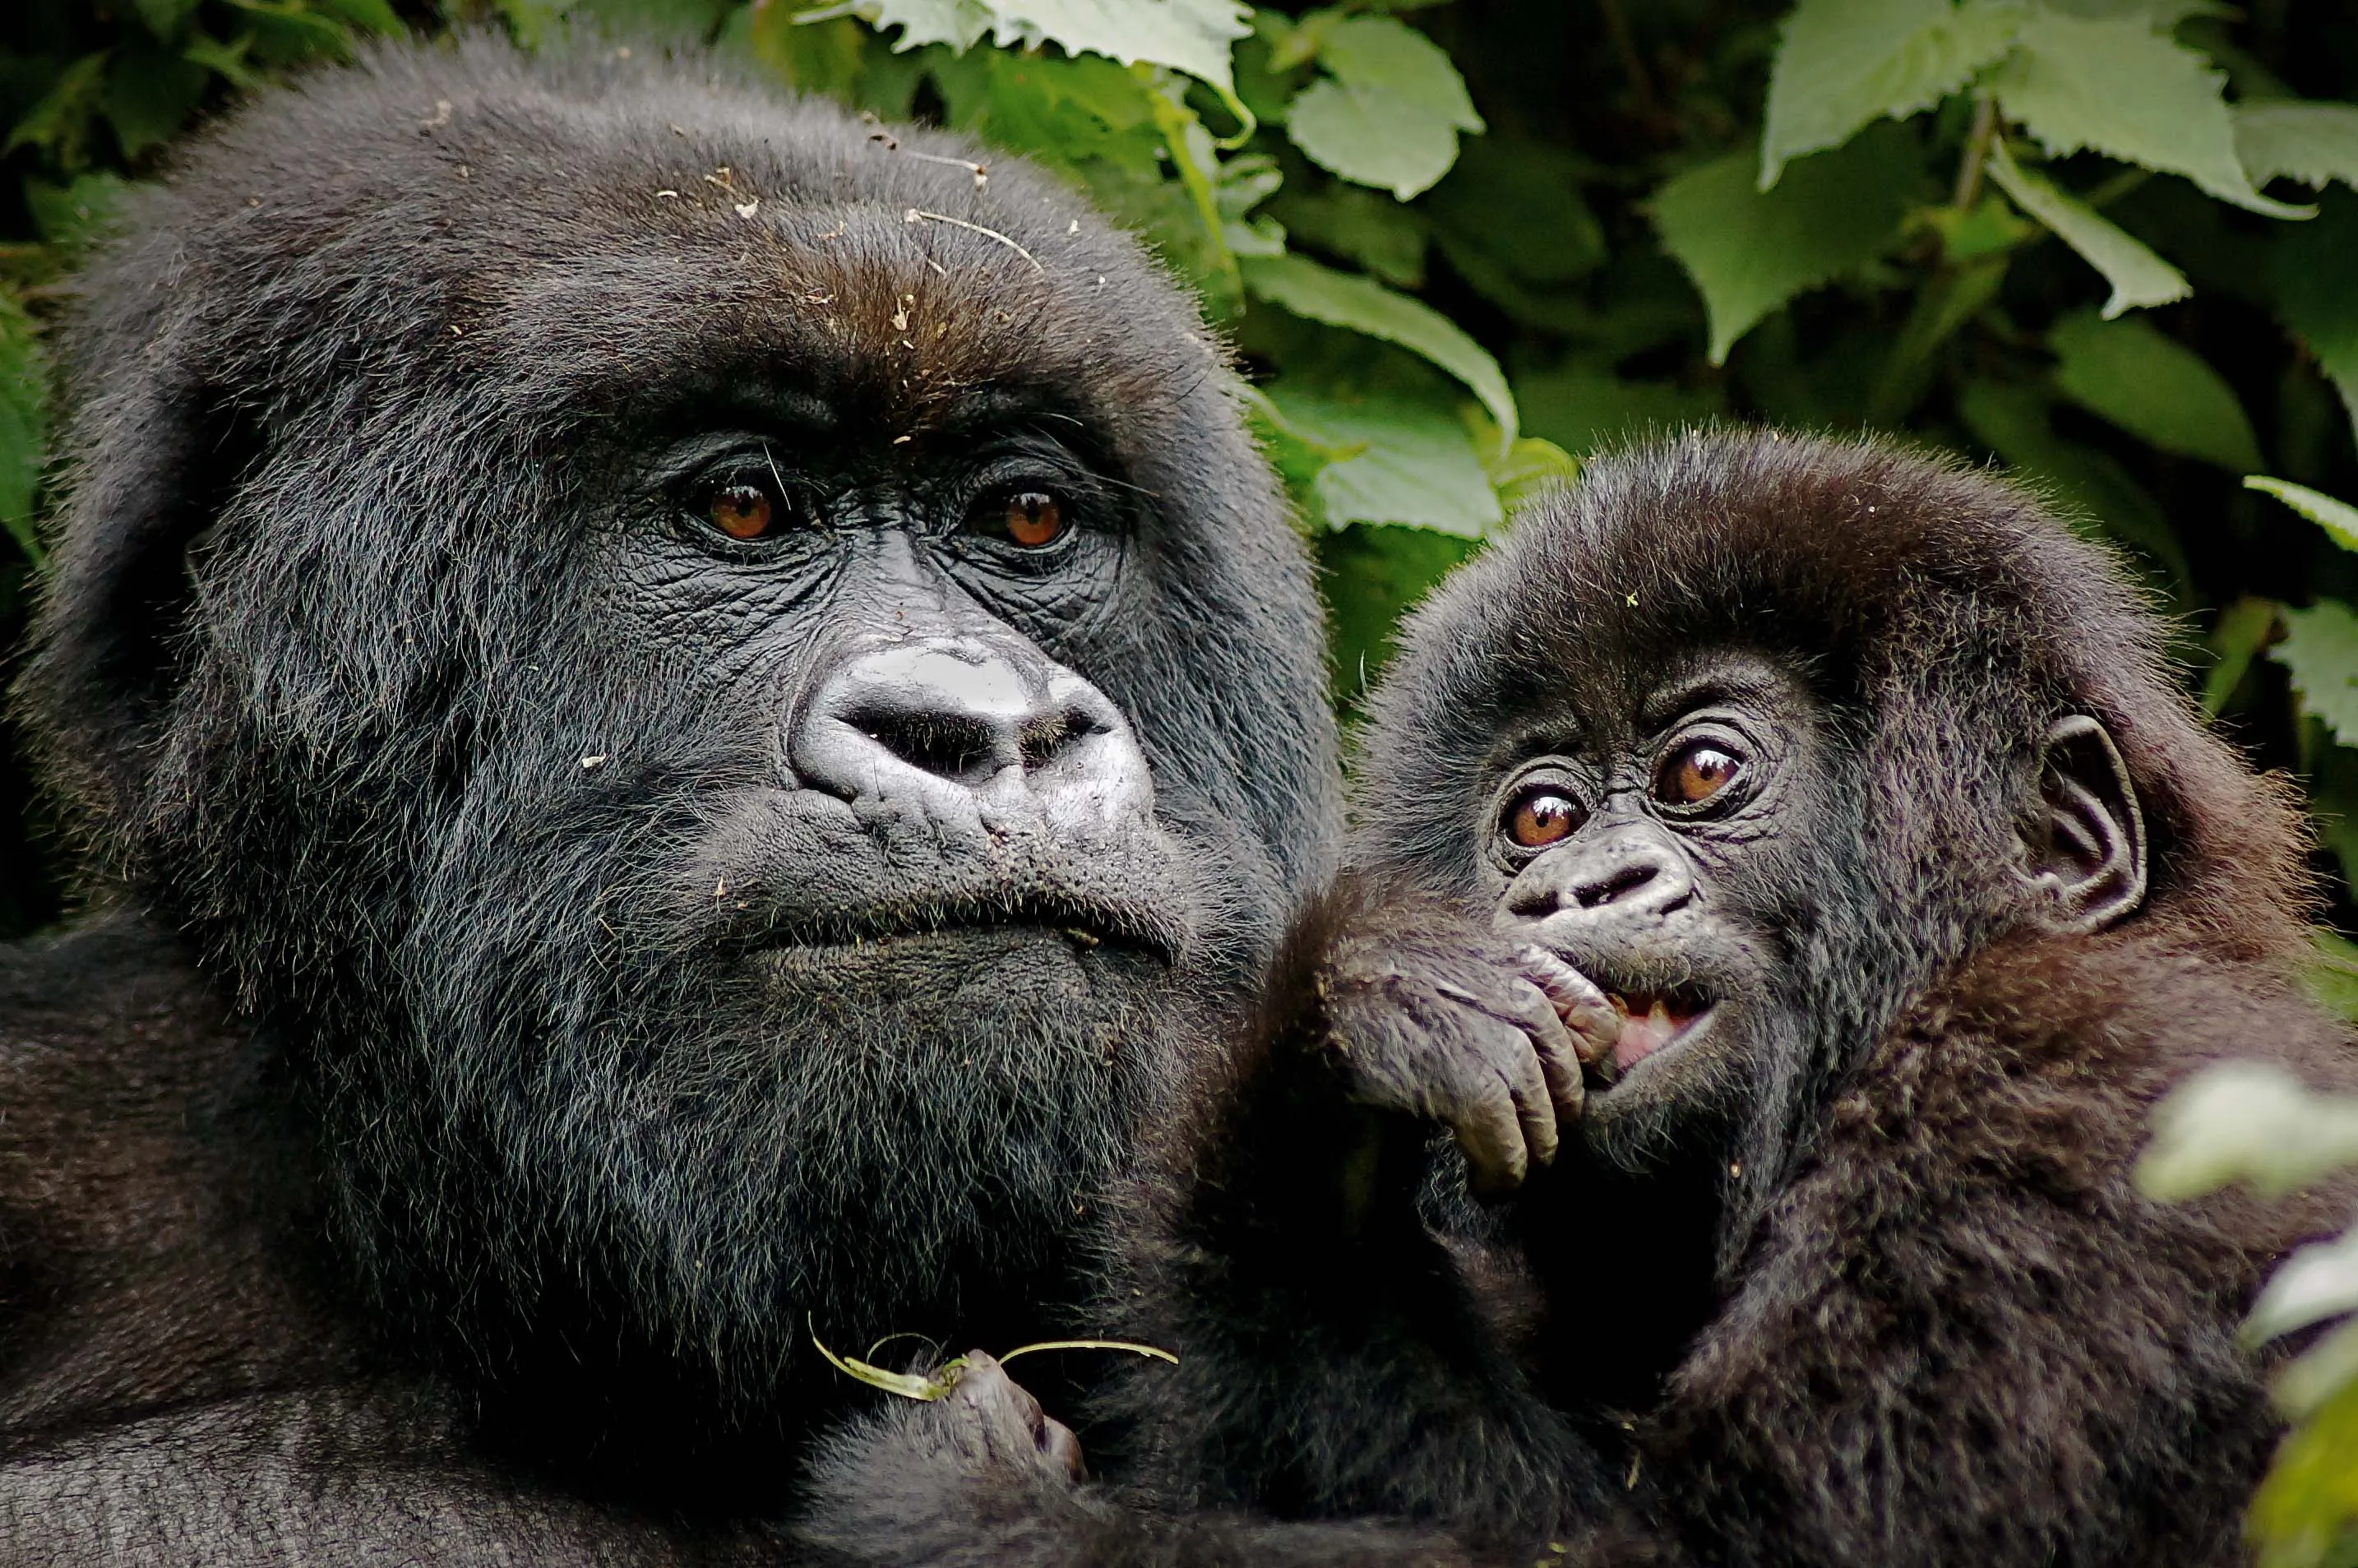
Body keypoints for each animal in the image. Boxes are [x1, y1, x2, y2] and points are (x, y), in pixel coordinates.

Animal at [803, 429, 2358, 1568]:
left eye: (1702, 774)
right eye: (1539, 816)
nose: (1573, 887)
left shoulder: (2045, 1119)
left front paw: (954, 1492)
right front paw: (1339, 1064)